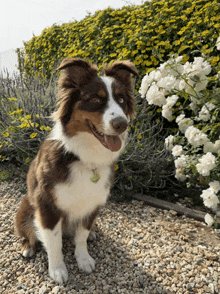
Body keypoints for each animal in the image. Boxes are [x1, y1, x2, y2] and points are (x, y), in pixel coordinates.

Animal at [15, 58, 139, 284]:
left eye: (121, 100)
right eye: (95, 99)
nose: (122, 124)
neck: (83, 157)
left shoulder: (91, 204)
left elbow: (81, 236)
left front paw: (83, 259)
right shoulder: (47, 205)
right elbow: (54, 242)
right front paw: (57, 269)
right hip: (25, 208)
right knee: (29, 233)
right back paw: (28, 247)